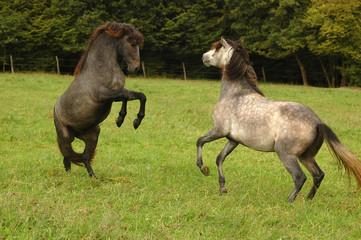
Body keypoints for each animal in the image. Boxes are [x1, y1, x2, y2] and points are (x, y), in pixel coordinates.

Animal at [52, 22, 146, 178]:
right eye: (132, 43)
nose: (136, 68)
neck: (100, 67)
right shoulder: (102, 95)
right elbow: (125, 97)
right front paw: (122, 120)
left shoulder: (118, 92)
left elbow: (139, 96)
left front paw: (134, 121)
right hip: (65, 136)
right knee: (67, 156)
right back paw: (70, 175)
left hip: (93, 135)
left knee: (84, 157)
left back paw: (93, 176)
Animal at [197, 38, 360, 202]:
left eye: (217, 48)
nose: (203, 57)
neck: (235, 94)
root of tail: (317, 123)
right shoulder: (233, 139)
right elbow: (220, 158)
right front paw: (222, 187)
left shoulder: (219, 129)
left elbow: (200, 141)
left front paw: (203, 168)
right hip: (306, 156)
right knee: (318, 175)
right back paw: (308, 200)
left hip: (285, 153)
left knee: (300, 177)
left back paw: (289, 202)